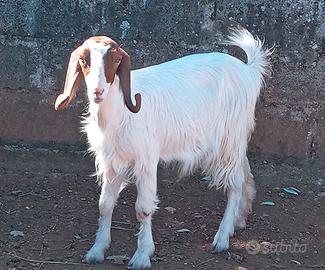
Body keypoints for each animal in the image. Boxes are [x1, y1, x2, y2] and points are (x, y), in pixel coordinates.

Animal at [53, 28, 270, 268]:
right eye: (84, 60)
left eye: (116, 60)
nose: (97, 91)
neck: (120, 112)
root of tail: (249, 71)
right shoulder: (111, 161)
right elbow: (105, 205)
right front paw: (97, 250)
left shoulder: (146, 161)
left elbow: (143, 209)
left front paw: (142, 255)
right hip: (235, 141)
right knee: (244, 171)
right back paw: (239, 220)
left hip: (228, 140)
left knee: (234, 184)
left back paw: (222, 238)